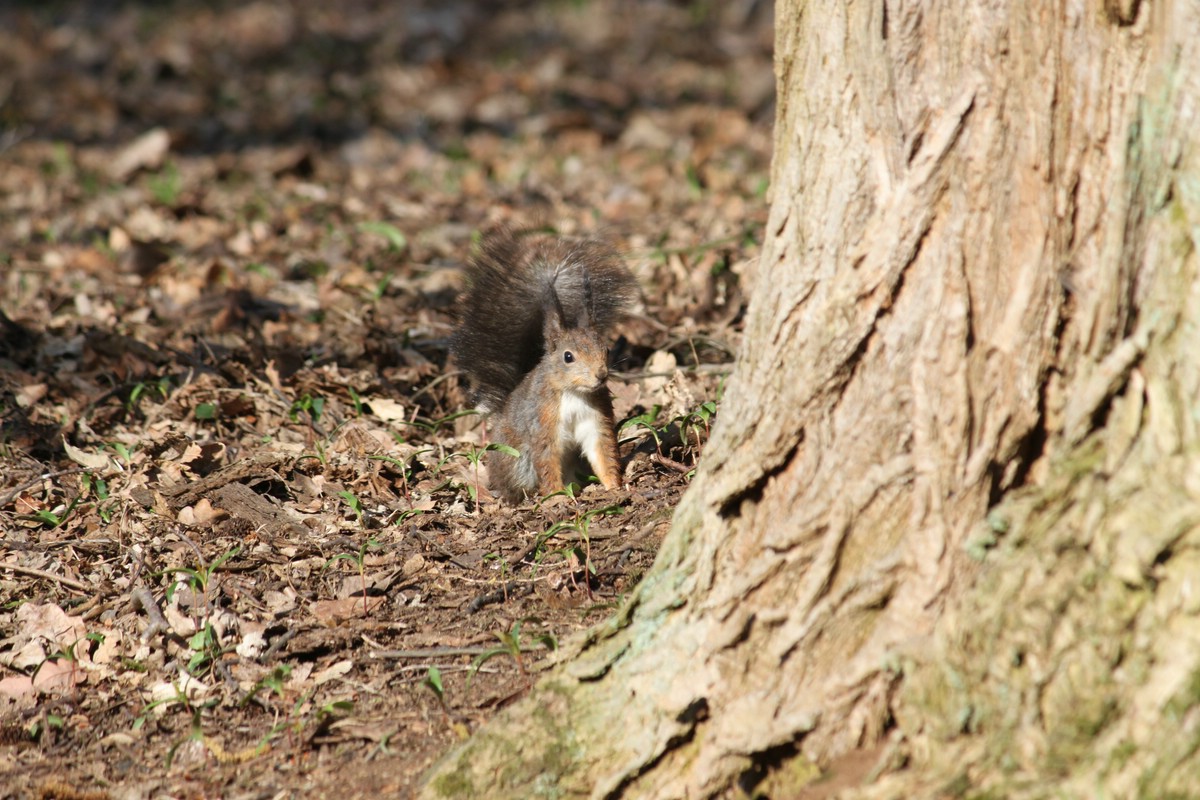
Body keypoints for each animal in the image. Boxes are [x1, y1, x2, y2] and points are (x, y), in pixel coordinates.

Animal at [451, 226, 638, 501]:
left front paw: (614, 486)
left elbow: (602, 453)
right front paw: (557, 498)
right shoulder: (543, 421)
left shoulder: (596, 419)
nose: (600, 375)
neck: (573, 394)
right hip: (517, 462)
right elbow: (547, 462)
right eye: (568, 357)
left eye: (605, 349)